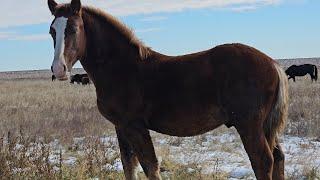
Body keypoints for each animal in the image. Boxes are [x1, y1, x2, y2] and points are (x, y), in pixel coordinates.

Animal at [48, 0, 290, 179]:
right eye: (52, 31)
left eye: (73, 29)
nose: (59, 69)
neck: (122, 67)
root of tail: (273, 64)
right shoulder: (121, 126)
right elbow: (129, 166)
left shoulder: (135, 125)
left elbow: (150, 167)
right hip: (264, 126)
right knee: (278, 158)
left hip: (248, 125)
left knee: (263, 161)